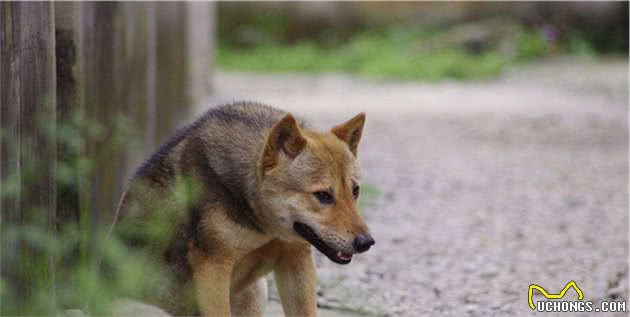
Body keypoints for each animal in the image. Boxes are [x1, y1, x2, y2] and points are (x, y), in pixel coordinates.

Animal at [113, 102, 376, 314]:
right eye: (322, 195)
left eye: (355, 191)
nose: (366, 242)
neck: (265, 227)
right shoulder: (213, 270)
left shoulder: (296, 260)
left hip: (256, 292)